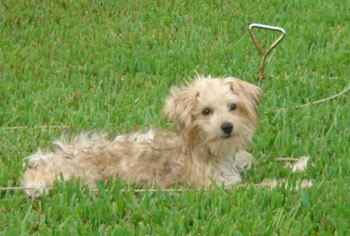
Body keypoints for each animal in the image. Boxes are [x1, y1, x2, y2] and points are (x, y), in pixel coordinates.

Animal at [21, 74, 262, 196]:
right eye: (206, 111)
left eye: (233, 107)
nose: (227, 126)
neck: (201, 148)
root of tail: (47, 163)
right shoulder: (214, 184)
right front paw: (272, 185)